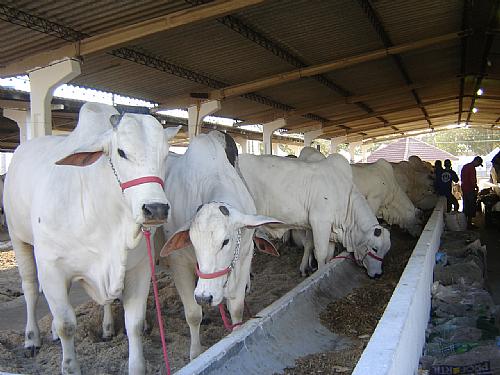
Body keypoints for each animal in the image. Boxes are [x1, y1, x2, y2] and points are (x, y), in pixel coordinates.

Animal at [4, 103, 180, 375]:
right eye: (121, 152)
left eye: (165, 155)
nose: (156, 209)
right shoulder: (52, 268)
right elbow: (67, 324)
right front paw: (70, 366)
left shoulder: (138, 268)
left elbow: (134, 323)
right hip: (18, 237)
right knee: (31, 289)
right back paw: (32, 338)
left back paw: (103, 329)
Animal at [158, 132, 280, 362]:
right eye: (192, 240)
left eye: (226, 241)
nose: (204, 297)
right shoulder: (179, 263)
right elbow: (193, 314)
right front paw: (195, 353)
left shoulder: (244, 258)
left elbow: (237, 309)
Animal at [238, 153, 390, 280]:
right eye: (375, 248)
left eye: (386, 251)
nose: (378, 275)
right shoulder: (320, 223)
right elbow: (320, 254)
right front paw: (318, 275)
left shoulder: (319, 227)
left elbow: (315, 248)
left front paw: (304, 269)